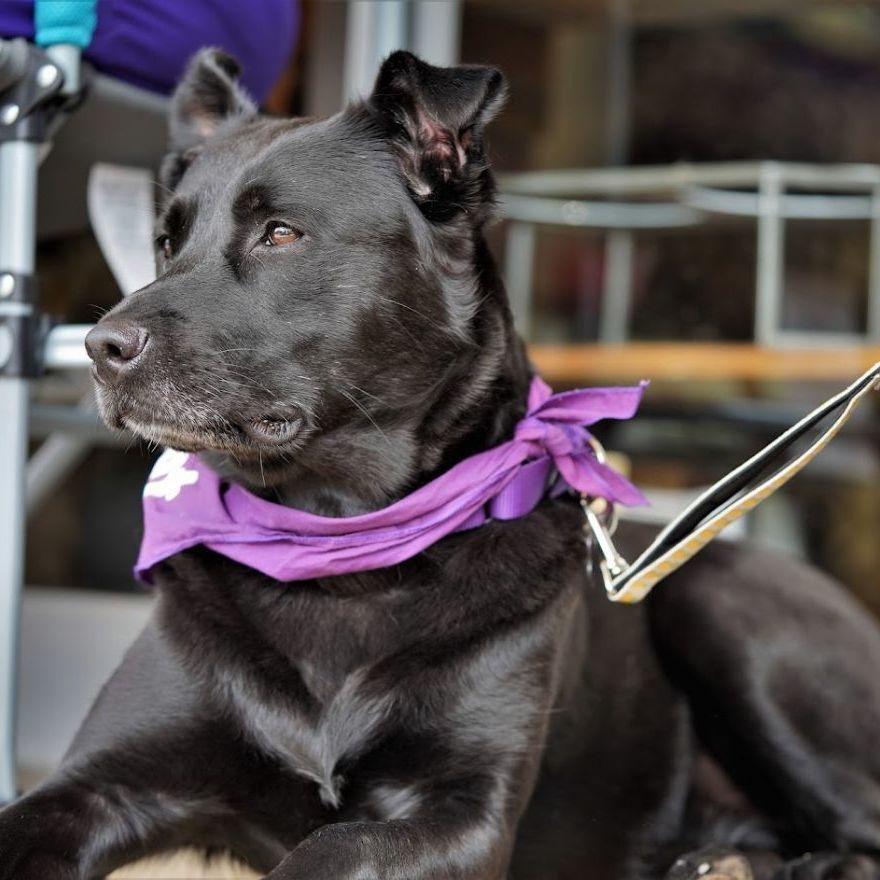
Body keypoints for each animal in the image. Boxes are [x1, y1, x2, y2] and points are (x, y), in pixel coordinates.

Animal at [1, 49, 880, 880]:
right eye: (166, 242)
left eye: (280, 233)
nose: (100, 348)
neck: (339, 546)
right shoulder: (95, 782)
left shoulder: (463, 814)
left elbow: (333, 850)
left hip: (727, 608)